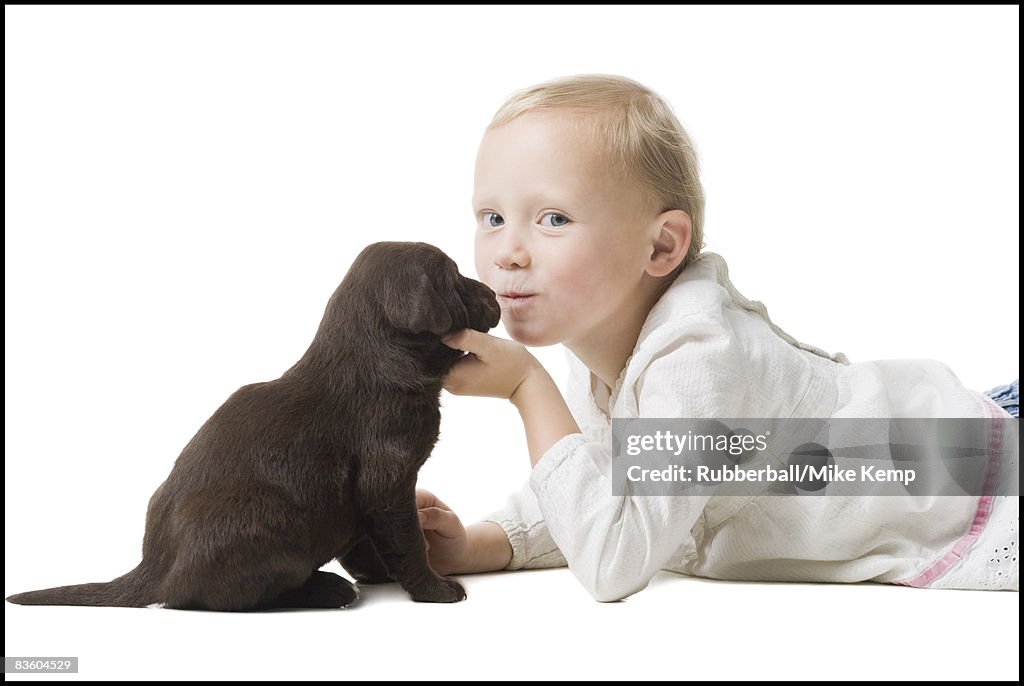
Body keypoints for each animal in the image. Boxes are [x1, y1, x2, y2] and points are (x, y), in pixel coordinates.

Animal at [6, 241, 501, 614]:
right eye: (455, 277)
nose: (497, 295)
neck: (376, 358)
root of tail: (154, 567)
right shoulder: (387, 479)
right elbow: (407, 540)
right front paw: (434, 589)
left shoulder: (366, 496)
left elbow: (365, 536)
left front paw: (377, 573)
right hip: (271, 517)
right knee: (212, 598)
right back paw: (326, 589)